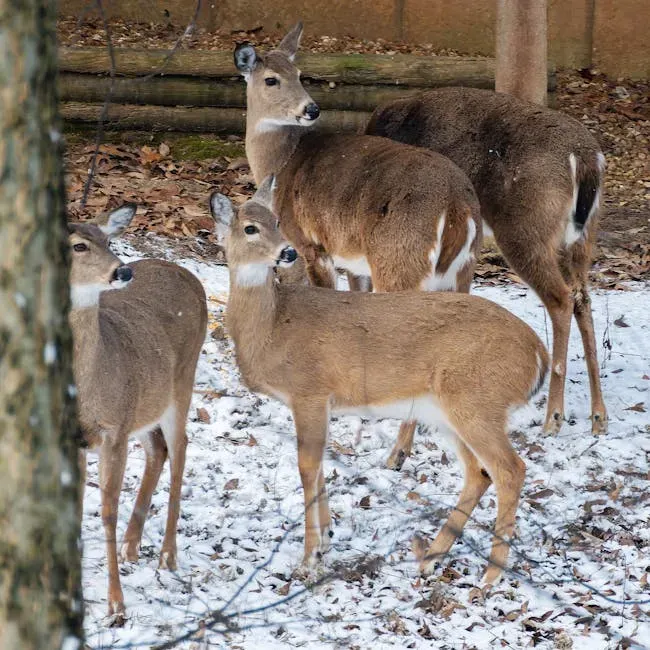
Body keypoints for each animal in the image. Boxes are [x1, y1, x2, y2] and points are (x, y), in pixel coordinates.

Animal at [69, 205, 208, 625]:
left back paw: (167, 554)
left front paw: (116, 604)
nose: (122, 271)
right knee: (158, 449)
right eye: (78, 245)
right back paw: (132, 544)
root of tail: (186, 273)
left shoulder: (114, 432)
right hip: (146, 402)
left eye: (107, 239)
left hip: (181, 382)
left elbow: (106, 512)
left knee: (180, 448)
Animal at [209, 178, 549, 588]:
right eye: (250, 228)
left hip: (477, 402)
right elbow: (319, 465)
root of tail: (539, 355)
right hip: (449, 412)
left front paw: (309, 560)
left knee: (510, 470)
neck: (272, 328)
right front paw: (326, 541)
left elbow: (307, 466)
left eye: (276, 221)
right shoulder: (317, 402)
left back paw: (491, 575)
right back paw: (431, 558)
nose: (288, 251)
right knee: (478, 472)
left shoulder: (310, 391)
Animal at [234, 22, 482, 470]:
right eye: (273, 78)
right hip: (462, 269)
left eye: (300, 74)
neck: (282, 165)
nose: (311, 109)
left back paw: (397, 454)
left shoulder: (311, 243)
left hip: (400, 262)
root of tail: (457, 204)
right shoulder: (355, 263)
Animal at [366, 87, 608, 452]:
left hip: (524, 229)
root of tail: (587, 160)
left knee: (561, 300)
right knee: (583, 299)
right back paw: (598, 416)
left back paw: (553, 417)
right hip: (581, 239)